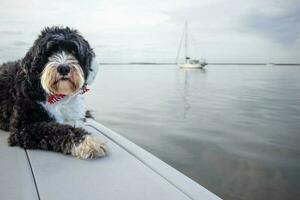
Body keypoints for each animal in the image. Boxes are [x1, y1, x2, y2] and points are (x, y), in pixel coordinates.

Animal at [0, 25, 108, 159]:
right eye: (50, 52)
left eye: (74, 52)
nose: (64, 68)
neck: (59, 95)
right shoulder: (22, 127)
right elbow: (55, 129)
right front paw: (87, 141)